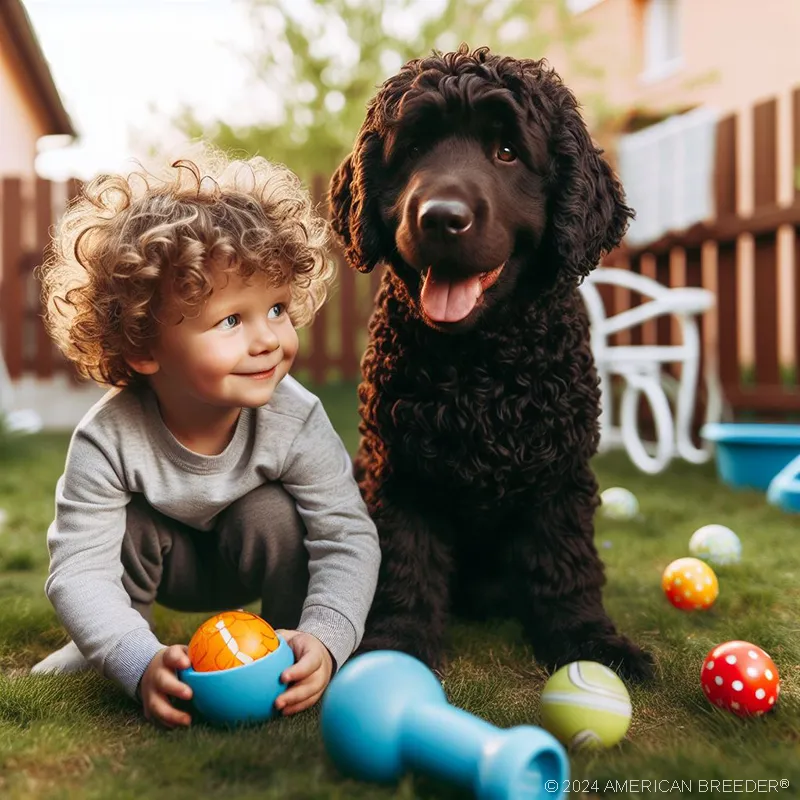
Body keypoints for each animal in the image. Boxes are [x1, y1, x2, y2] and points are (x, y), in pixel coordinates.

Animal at [328, 47, 652, 680]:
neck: (479, 366)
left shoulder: (559, 475)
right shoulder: (398, 472)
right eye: (412, 149)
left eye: (507, 152)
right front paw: (398, 644)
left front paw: (590, 640)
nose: (440, 216)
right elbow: (404, 564)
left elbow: (566, 565)